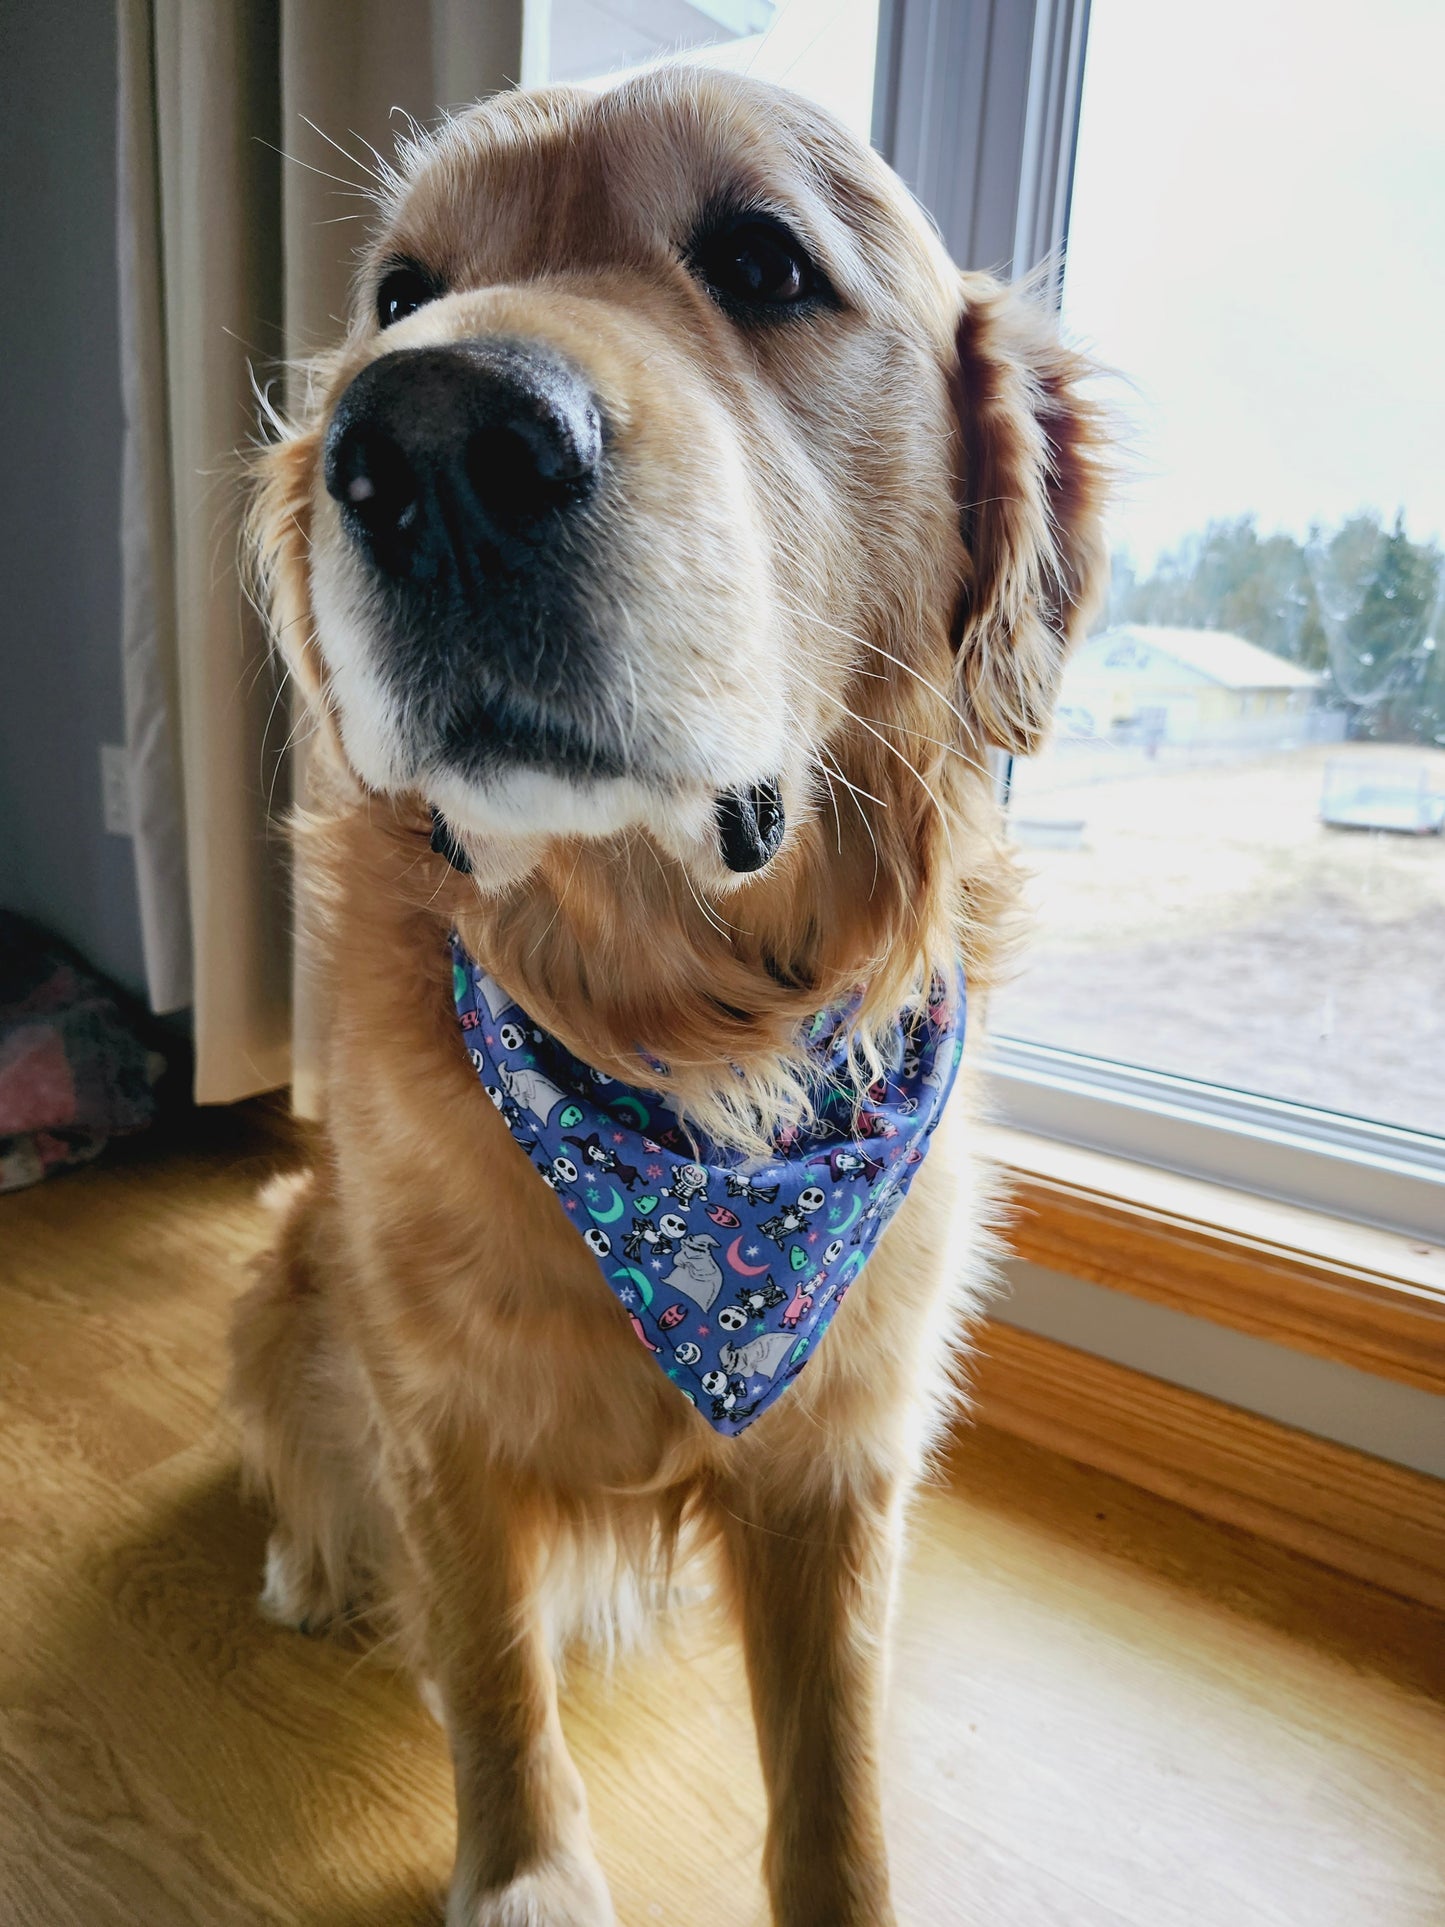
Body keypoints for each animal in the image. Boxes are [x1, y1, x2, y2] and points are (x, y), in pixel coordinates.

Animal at [235, 60, 1109, 1927]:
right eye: (397, 295)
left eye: (766, 260)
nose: (424, 444)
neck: (673, 1058)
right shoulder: (437, 1416)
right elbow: (494, 1674)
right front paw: (527, 1873)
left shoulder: (842, 1456)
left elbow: (833, 1770)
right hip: (283, 1265)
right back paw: (305, 1561)